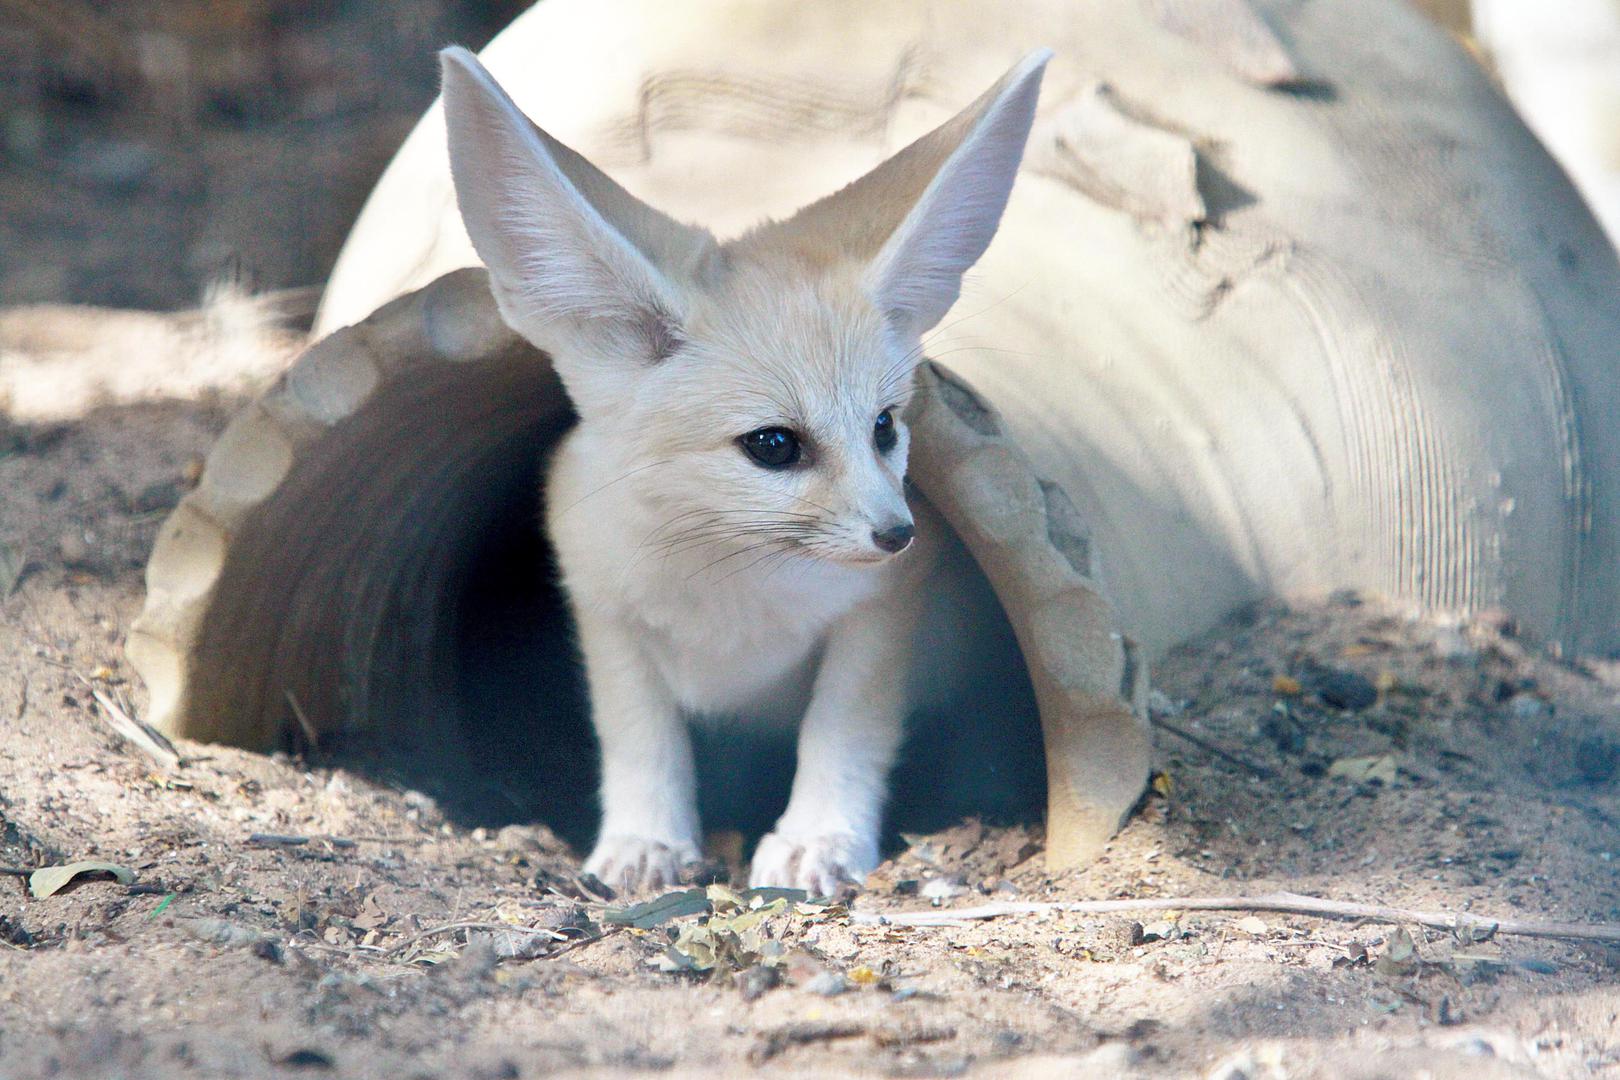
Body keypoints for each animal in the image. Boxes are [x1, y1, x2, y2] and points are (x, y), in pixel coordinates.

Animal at [440, 46, 1049, 893]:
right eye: (774, 445)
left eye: (885, 427)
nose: (897, 533)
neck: (726, 587)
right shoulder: (605, 611)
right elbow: (640, 737)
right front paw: (646, 842)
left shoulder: (882, 610)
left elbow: (842, 730)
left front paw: (818, 838)